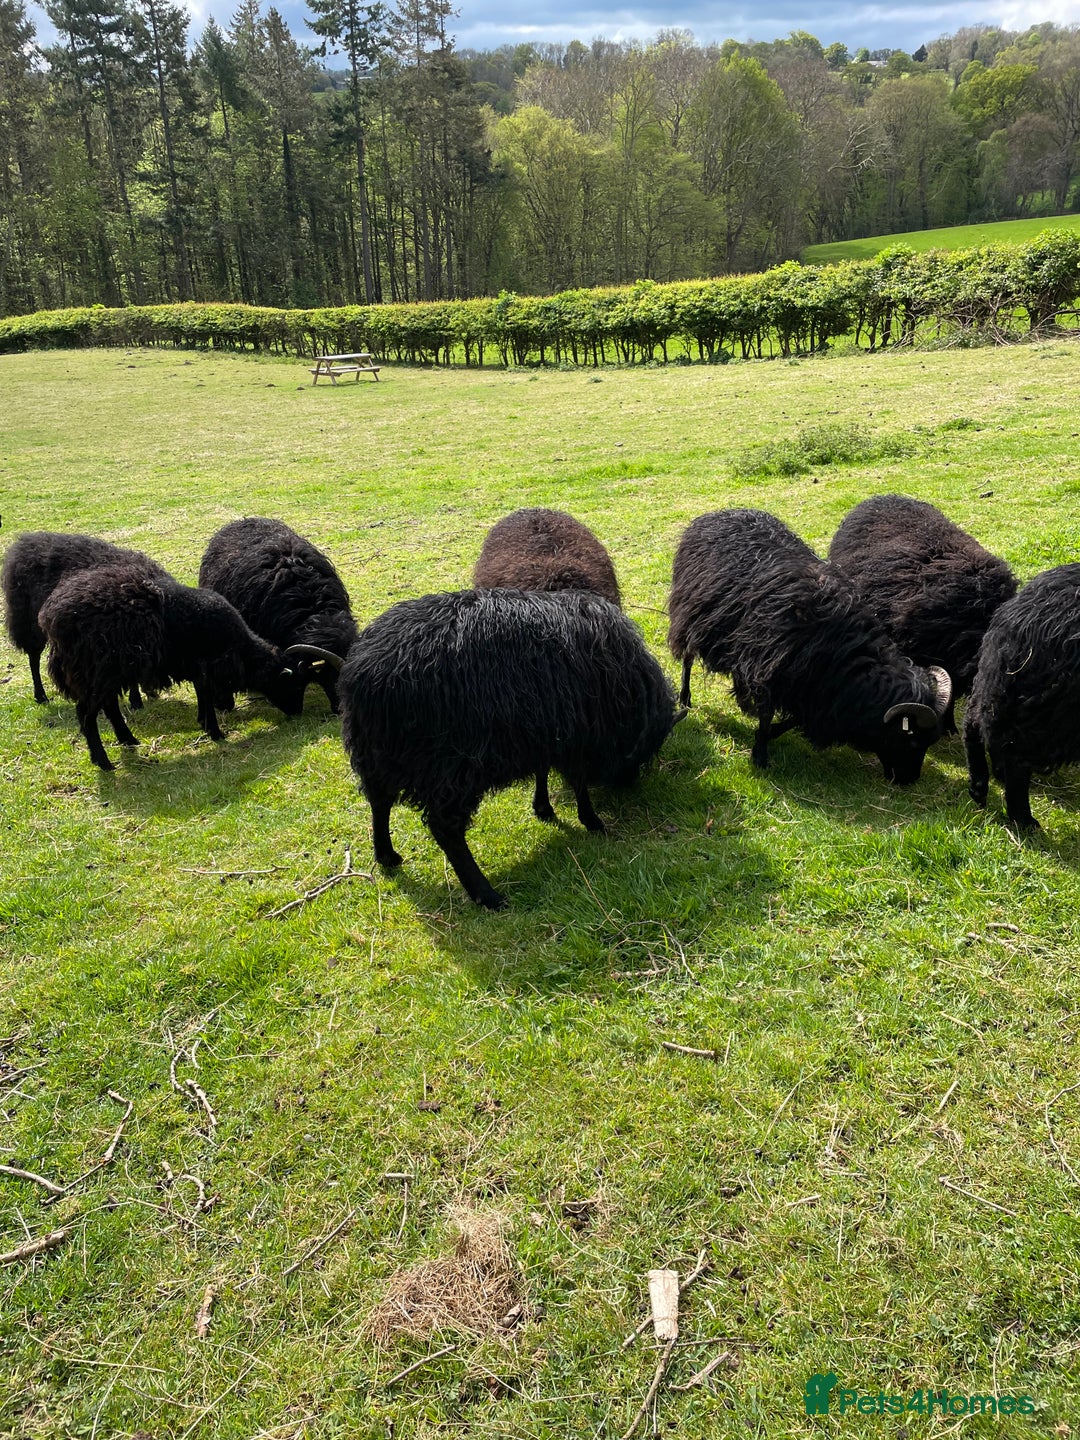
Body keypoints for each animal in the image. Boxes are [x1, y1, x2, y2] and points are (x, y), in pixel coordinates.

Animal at [38, 564, 303, 770]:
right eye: (289, 683)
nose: (297, 713)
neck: (238, 647)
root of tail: (52, 617)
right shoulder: (205, 663)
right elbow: (205, 692)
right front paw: (215, 732)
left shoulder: (196, 665)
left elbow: (201, 693)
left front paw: (204, 723)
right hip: (96, 671)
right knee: (86, 715)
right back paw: (103, 761)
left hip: (109, 673)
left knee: (109, 706)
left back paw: (128, 740)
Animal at [287, 588, 684, 910]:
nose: (629, 784)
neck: (629, 691)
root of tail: (361, 670)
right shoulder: (576, 735)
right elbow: (579, 783)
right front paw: (593, 822)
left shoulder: (543, 731)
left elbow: (543, 770)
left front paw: (543, 808)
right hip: (452, 766)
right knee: (445, 829)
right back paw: (486, 894)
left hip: (375, 755)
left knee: (379, 803)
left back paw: (387, 855)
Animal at [668, 508, 952, 782]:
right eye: (911, 739)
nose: (909, 780)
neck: (843, 655)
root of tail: (715, 515)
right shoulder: (771, 670)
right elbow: (767, 714)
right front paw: (760, 755)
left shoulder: (810, 688)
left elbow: (792, 719)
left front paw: (770, 733)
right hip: (690, 614)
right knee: (688, 659)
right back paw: (685, 698)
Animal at [965, 563, 1080, 829]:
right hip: (1049, 711)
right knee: (1017, 759)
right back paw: (1024, 820)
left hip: (997, 685)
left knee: (976, 722)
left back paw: (980, 785)